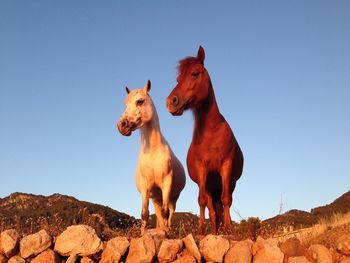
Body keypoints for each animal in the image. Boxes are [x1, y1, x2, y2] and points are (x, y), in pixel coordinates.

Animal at [117, 81, 186, 235]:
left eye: (140, 101)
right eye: (125, 105)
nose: (121, 126)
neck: (153, 152)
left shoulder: (166, 184)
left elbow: (166, 213)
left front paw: (166, 233)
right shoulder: (146, 187)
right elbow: (144, 213)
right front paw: (143, 234)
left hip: (173, 198)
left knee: (169, 213)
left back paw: (168, 229)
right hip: (156, 198)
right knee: (158, 213)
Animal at [165, 47, 242, 235]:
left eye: (194, 73)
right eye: (178, 79)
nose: (171, 102)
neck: (211, 133)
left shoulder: (226, 166)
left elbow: (226, 200)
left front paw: (229, 230)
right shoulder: (202, 170)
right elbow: (201, 202)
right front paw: (201, 231)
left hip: (226, 183)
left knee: (224, 203)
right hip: (208, 186)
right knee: (212, 210)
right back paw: (214, 231)